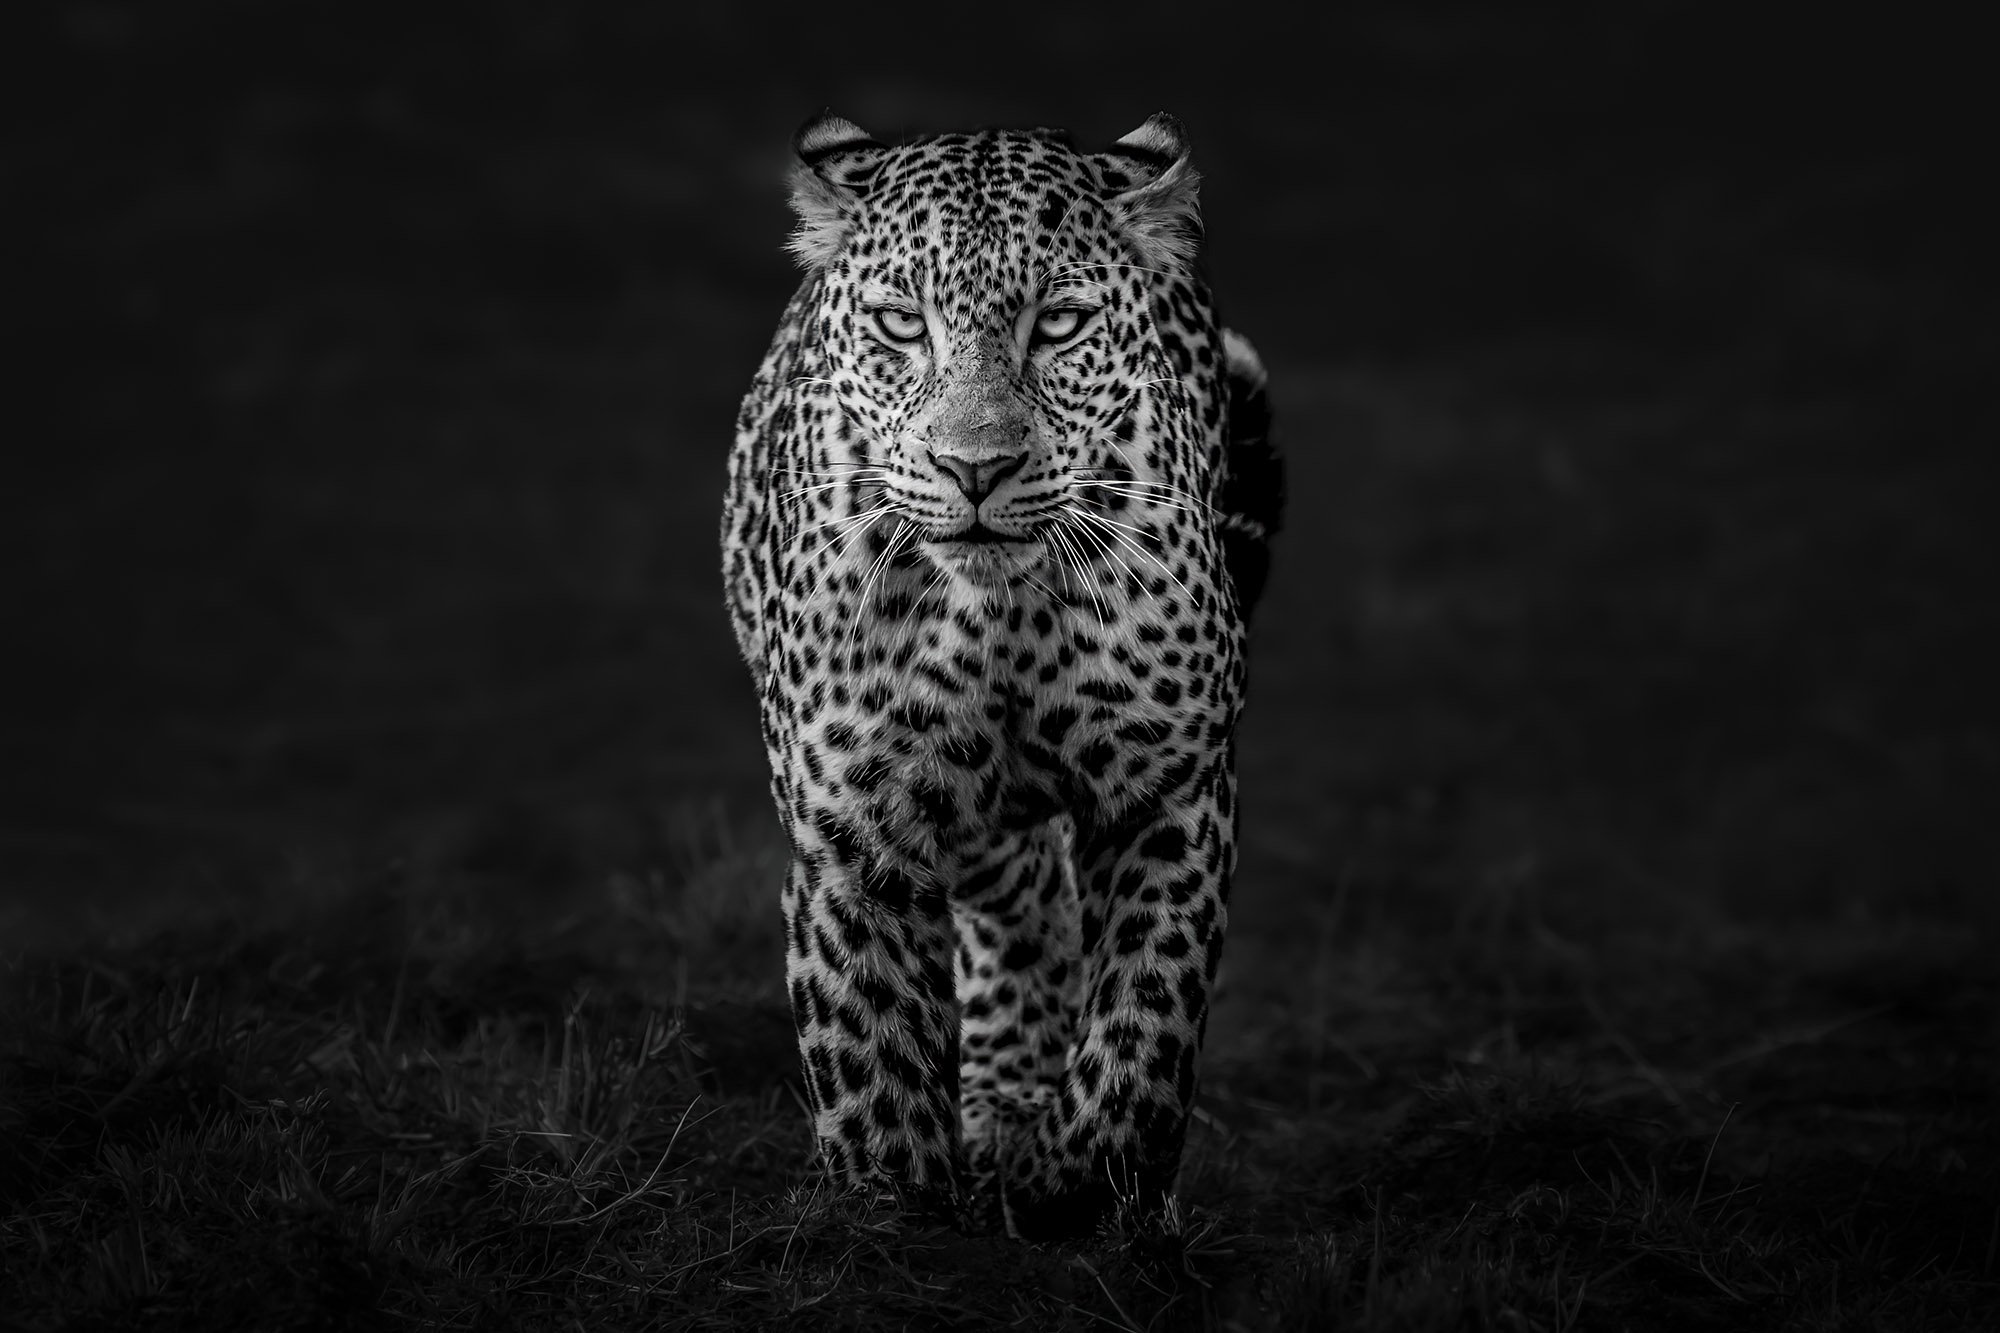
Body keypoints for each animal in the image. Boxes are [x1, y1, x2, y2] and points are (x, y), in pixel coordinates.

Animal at [721, 111, 1282, 1240]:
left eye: (1057, 324)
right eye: (902, 325)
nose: (974, 468)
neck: (1003, 617)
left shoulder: (1168, 795)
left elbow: (1146, 1024)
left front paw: (1090, 1193)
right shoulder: (856, 833)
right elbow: (874, 1058)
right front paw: (893, 1221)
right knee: (1023, 909)